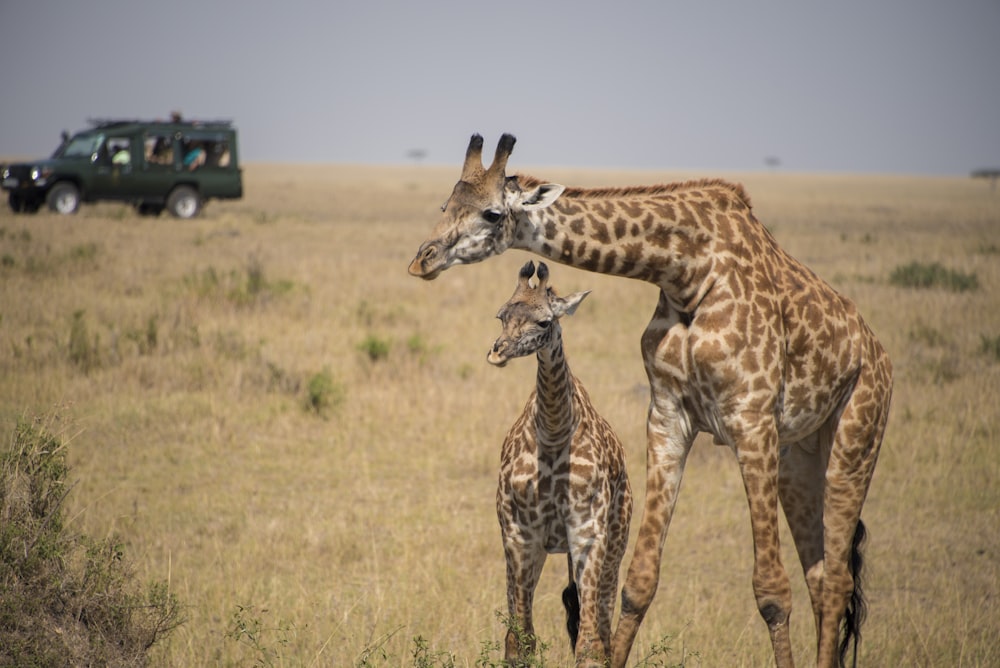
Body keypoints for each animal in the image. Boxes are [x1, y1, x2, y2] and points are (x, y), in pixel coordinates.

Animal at [486, 258, 632, 664]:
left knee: (600, 626)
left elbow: (590, 644)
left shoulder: (587, 530)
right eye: (501, 315)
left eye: (543, 322)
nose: (497, 352)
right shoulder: (519, 534)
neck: (553, 430)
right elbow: (519, 641)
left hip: (614, 542)